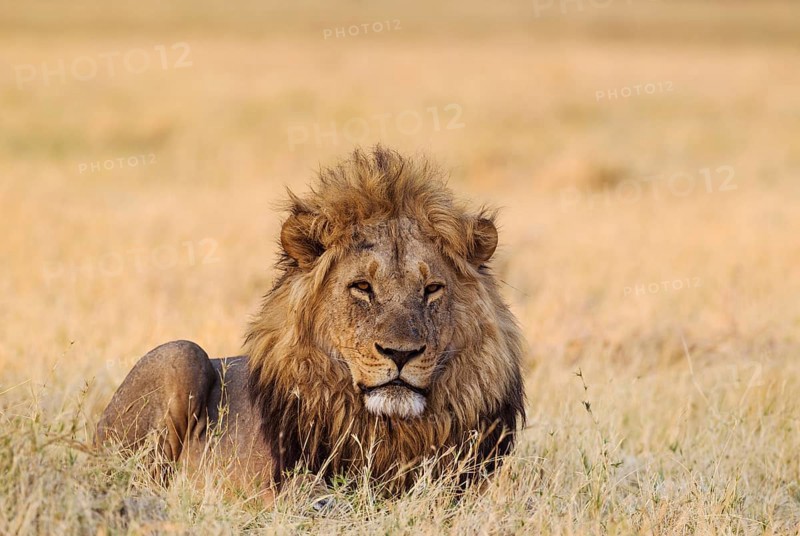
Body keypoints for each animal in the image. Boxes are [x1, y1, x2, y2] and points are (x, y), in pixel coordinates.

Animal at [95, 147, 525, 502]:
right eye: (362, 287)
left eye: (432, 289)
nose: (400, 354)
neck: (392, 429)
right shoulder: (294, 487)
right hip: (180, 355)